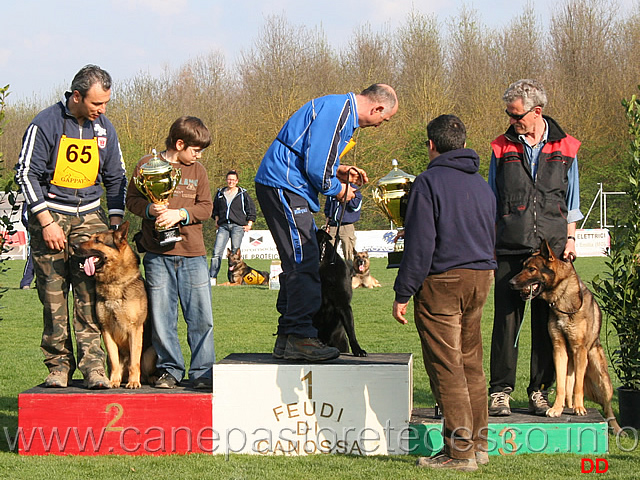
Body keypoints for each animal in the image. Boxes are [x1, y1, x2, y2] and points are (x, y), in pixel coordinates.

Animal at [73, 221, 155, 390]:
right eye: (89, 238)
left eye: (97, 240)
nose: (73, 246)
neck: (114, 283)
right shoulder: (106, 331)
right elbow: (114, 360)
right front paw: (112, 381)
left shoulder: (135, 329)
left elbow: (134, 362)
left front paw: (133, 382)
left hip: (150, 354)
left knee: (144, 368)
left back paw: (148, 379)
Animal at [510, 240, 620, 436]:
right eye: (523, 267)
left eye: (531, 269)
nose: (510, 282)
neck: (561, 298)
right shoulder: (559, 349)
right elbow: (560, 386)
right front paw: (556, 409)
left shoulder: (579, 349)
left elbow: (578, 387)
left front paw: (579, 408)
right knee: (569, 389)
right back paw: (567, 406)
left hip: (602, 379)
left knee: (607, 408)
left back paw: (616, 428)